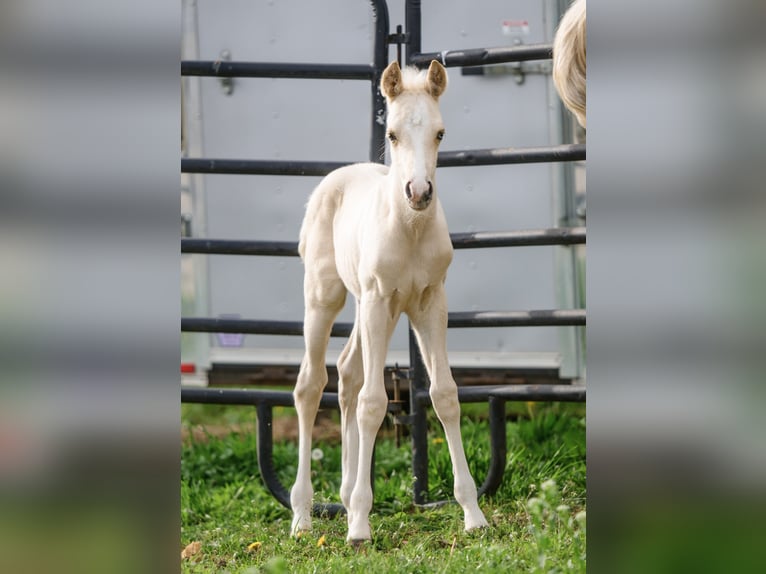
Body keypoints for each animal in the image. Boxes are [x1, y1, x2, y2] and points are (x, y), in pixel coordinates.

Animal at [289, 60, 489, 543]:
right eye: (393, 134)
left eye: (440, 133)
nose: (419, 192)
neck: (410, 229)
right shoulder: (381, 302)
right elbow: (374, 403)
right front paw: (361, 525)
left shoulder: (429, 303)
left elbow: (445, 395)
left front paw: (473, 513)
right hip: (326, 297)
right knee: (311, 384)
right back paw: (303, 514)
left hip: (370, 307)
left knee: (346, 372)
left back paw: (343, 496)